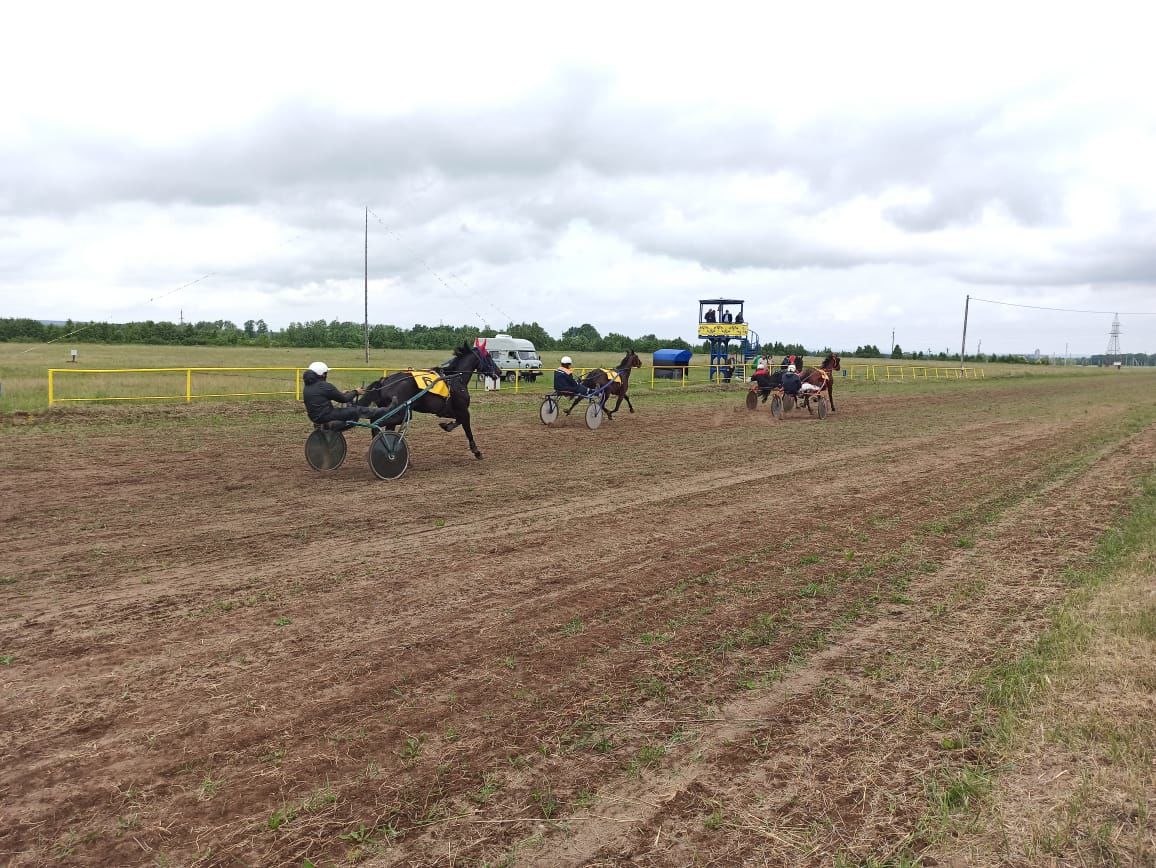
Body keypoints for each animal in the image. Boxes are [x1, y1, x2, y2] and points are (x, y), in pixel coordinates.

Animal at [356, 342, 501, 457]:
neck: (455, 378)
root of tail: (384, 382)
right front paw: (476, 451)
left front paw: (446, 425)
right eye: (488, 356)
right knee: (375, 422)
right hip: (399, 413)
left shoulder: (451, 411)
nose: (499, 372)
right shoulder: (463, 409)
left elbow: (457, 421)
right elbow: (467, 428)